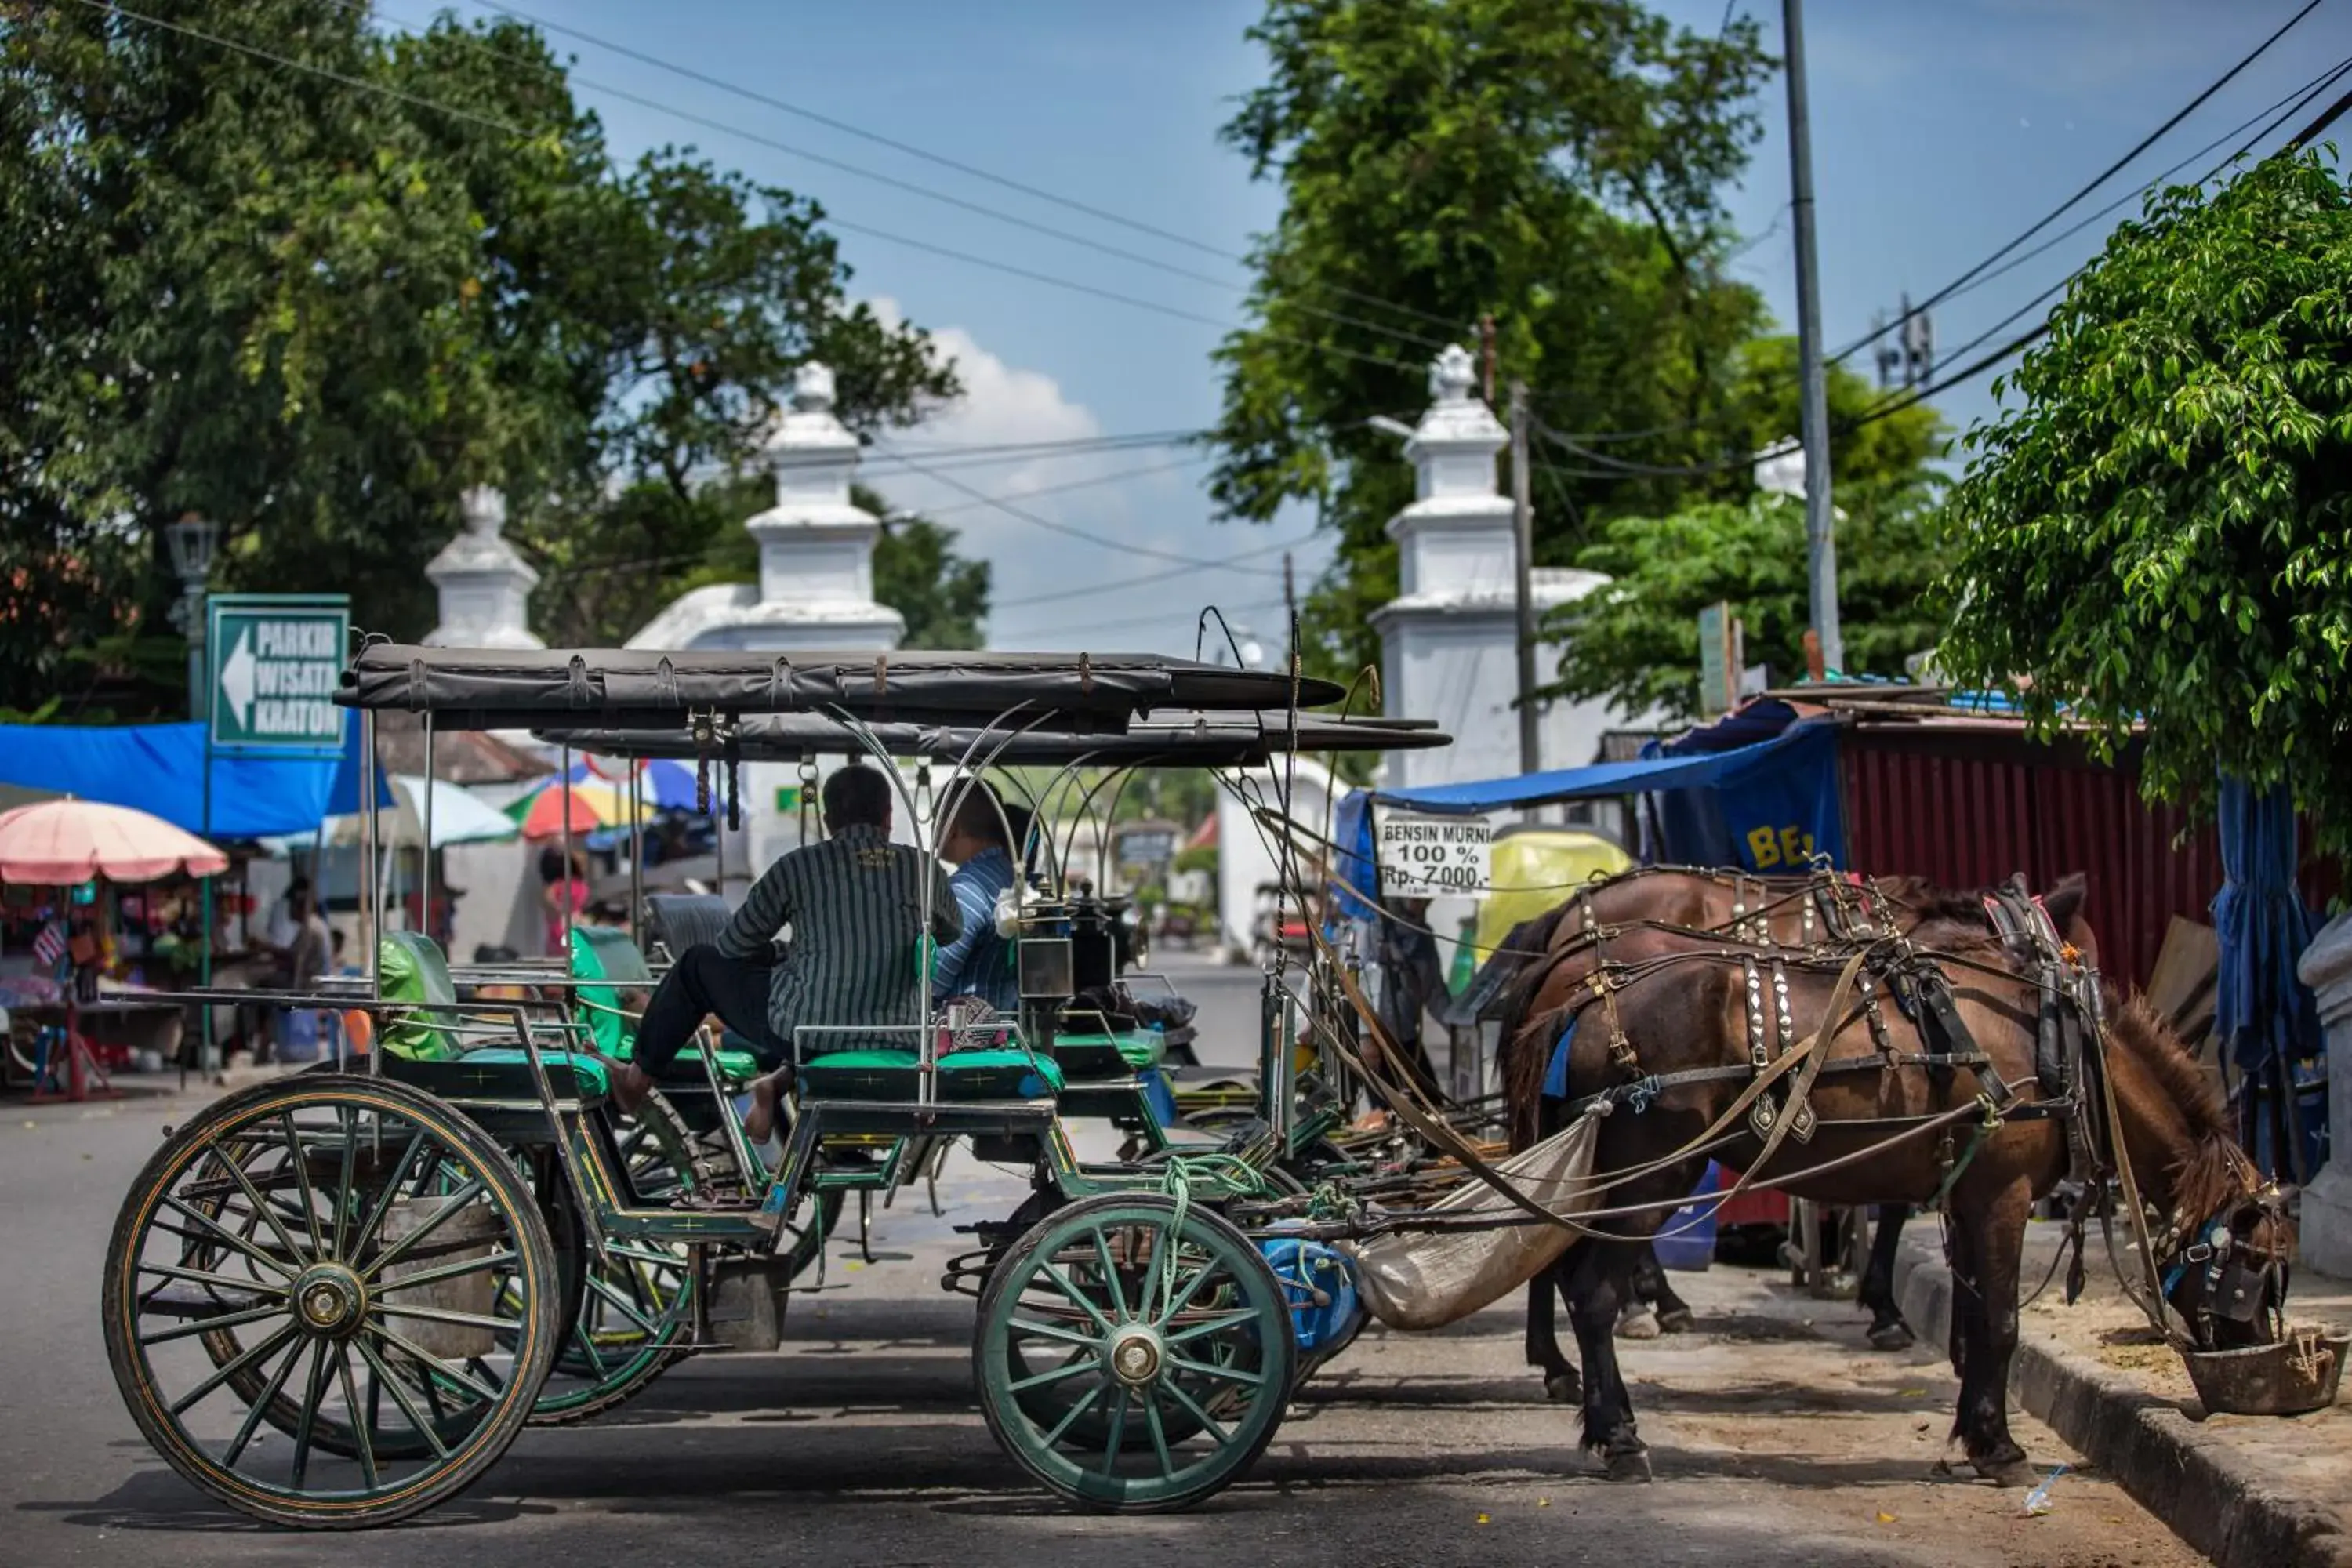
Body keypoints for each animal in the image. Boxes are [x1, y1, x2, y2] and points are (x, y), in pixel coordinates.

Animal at [1496, 888, 2286, 1476]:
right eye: (2254, 1265)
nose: (2248, 1354)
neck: (2057, 1041)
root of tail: (1582, 998)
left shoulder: (1970, 1196)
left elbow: (1975, 1315)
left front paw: (1974, 1431)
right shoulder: (2002, 1196)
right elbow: (2001, 1322)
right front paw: (2000, 1449)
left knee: (1556, 1265)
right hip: (1655, 1170)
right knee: (1592, 1294)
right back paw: (1619, 1433)